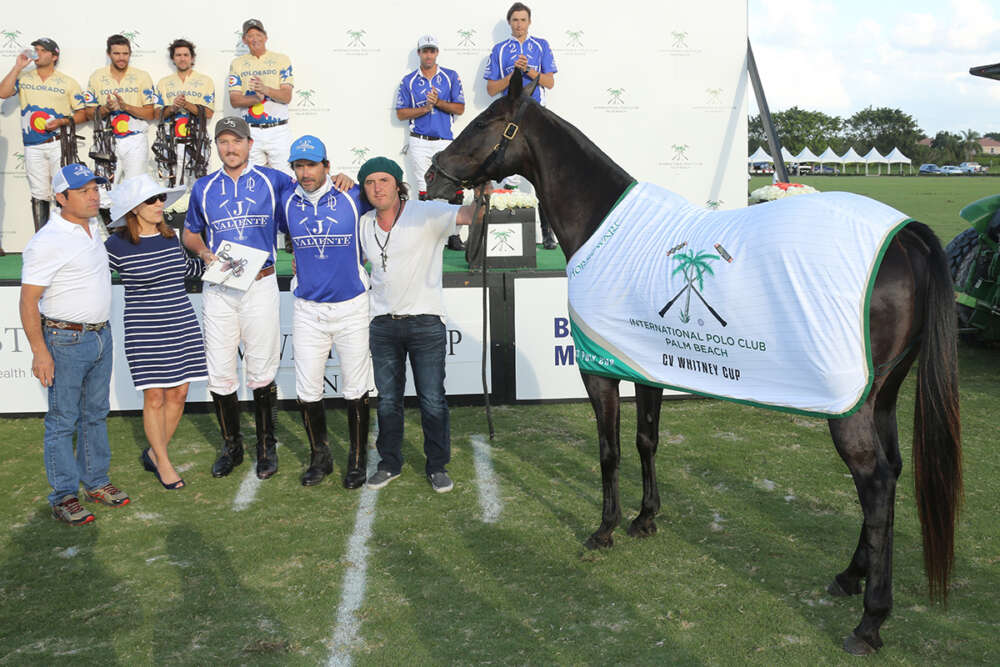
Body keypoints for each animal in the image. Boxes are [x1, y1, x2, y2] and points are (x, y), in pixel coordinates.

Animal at [428, 74, 960, 656]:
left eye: (484, 122)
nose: (433, 175)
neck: (601, 222)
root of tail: (906, 236)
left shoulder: (600, 370)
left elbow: (609, 451)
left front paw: (605, 528)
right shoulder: (642, 363)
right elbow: (647, 440)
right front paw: (645, 518)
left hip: (850, 407)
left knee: (876, 482)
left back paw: (870, 620)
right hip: (881, 394)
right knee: (893, 470)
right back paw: (849, 576)